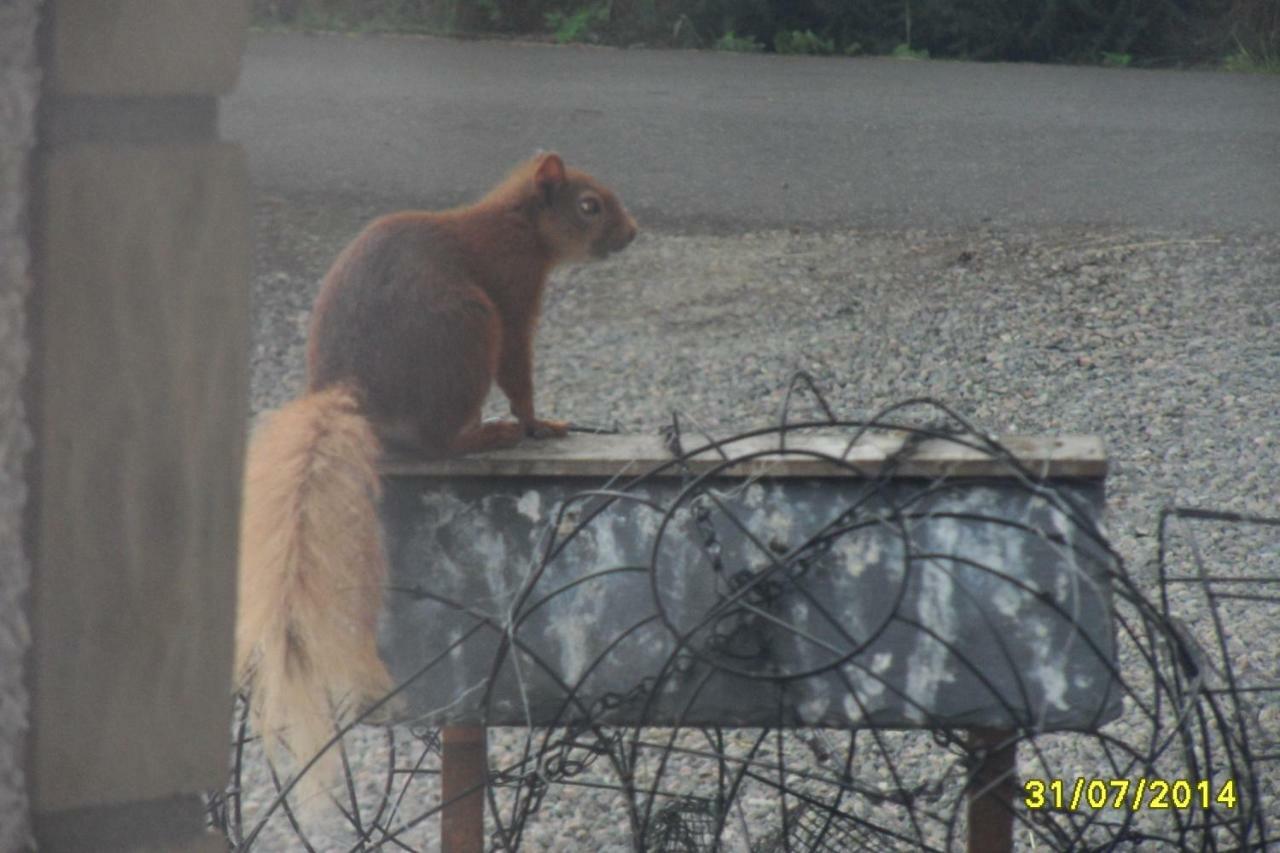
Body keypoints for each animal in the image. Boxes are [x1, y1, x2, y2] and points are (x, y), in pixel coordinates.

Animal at [234, 154, 634, 804]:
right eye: (589, 206)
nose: (632, 233)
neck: (516, 226)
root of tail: (353, 391)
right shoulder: (513, 295)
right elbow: (519, 371)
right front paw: (537, 422)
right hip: (468, 327)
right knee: (437, 439)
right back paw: (487, 434)